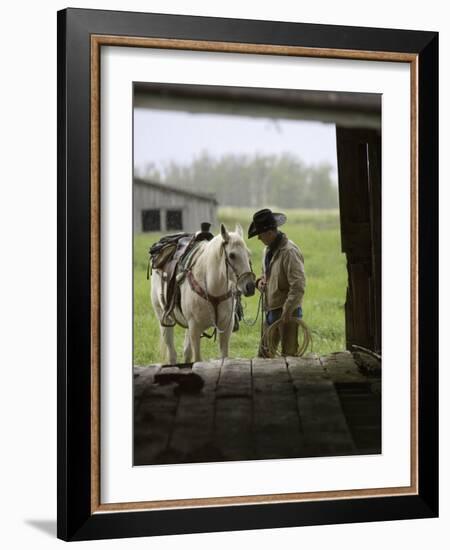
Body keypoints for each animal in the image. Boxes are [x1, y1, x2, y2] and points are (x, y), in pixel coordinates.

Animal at [151, 224, 255, 366]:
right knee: (172, 354)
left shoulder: (225, 328)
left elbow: (224, 357)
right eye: (232, 255)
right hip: (164, 318)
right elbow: (198, 359)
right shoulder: (195, 329)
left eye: (248, 254)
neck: (213, 288)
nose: (250, 287)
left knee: (186, 353)